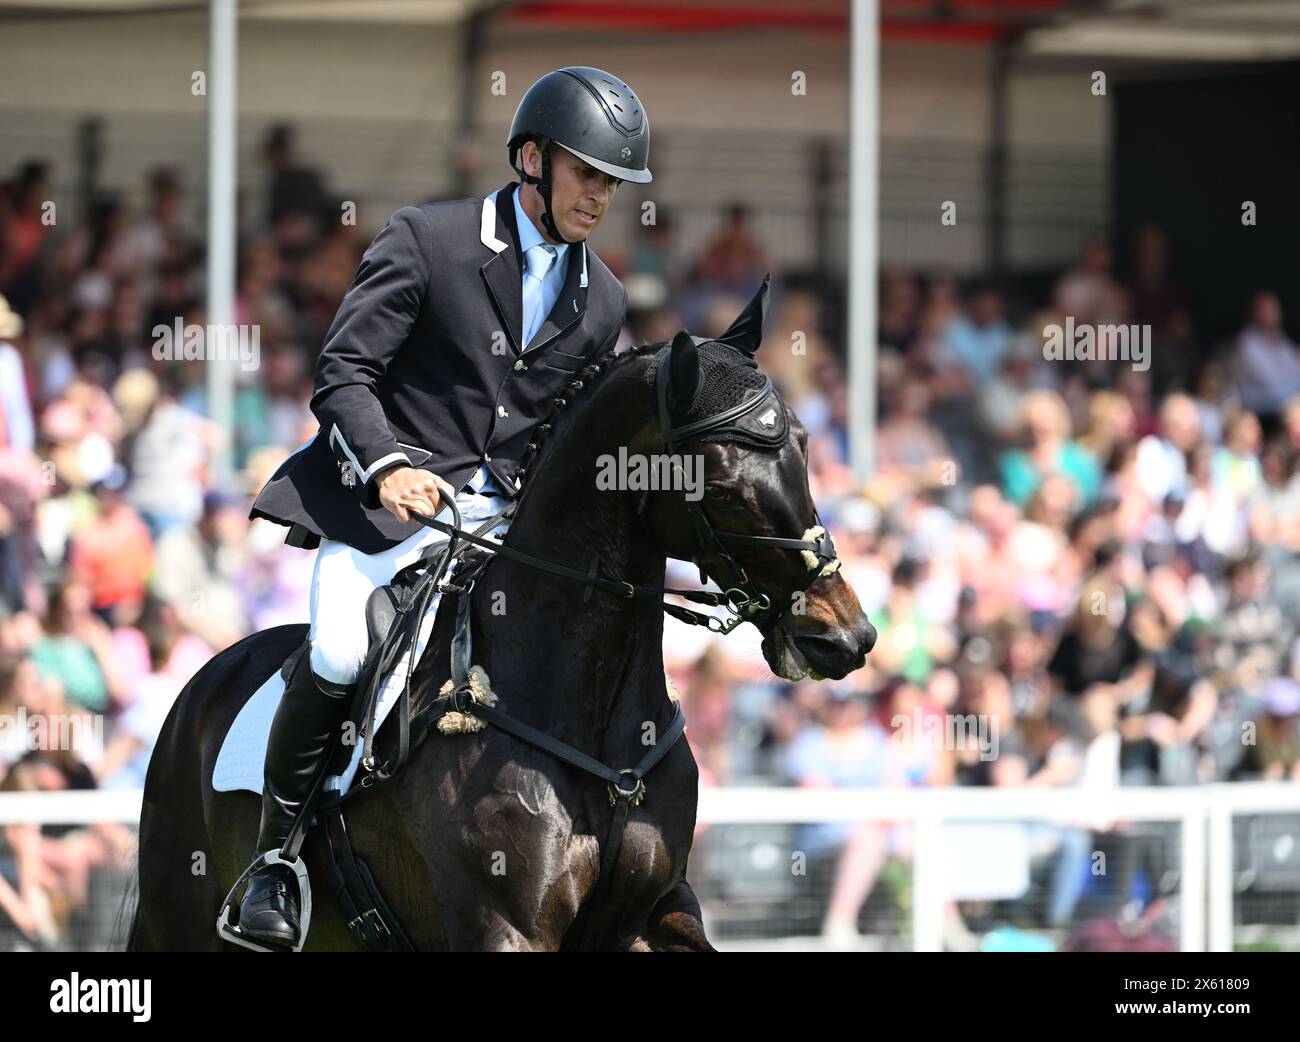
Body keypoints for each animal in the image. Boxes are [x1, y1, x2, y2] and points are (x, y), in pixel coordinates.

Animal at [129, 294, 873, 951]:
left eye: (804, 445)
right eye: (722, 490)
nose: (843, 637)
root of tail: (207, 680)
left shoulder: (658, 912)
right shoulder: (505, 928)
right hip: (181, 918)